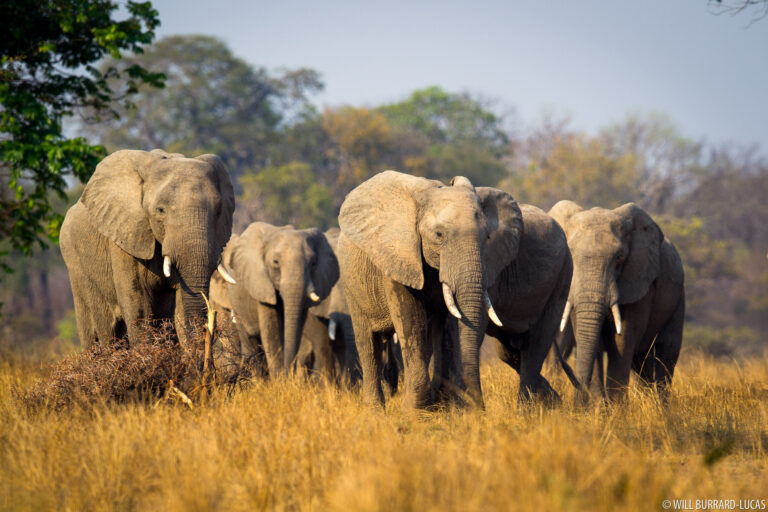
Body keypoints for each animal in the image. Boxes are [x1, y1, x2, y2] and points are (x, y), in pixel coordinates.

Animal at [60, 149, 235, 347]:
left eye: (219, 210)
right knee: (106, 327)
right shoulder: (125, 238)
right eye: (160, 210)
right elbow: (138, 304)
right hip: (76, 262)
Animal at [218, 222, 339, 374]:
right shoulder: (262, 286)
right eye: (275, 262)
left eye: (313, 264)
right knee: (250, 340)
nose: (289, 369)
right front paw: (280, 377)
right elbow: (272, 332)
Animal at [337, 171, 524, 409]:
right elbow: (410, 318)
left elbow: (447, 326)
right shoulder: (399, 258)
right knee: (368, 344)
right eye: (439, 235)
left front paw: (444, 409)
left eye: (487, 237)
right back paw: (375, 411)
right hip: (351, 284)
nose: (480, 411)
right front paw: (414, 412)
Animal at [549, 200, 685, 403]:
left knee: (664, 355)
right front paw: (599, 407)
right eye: (570, 254)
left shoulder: (639, 282)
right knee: (642, 364)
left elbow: (621, 342)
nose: (576, 404)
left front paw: (616, 408)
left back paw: (660, 406)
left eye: (619, 257)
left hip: (678, 299)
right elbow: (589, 340)